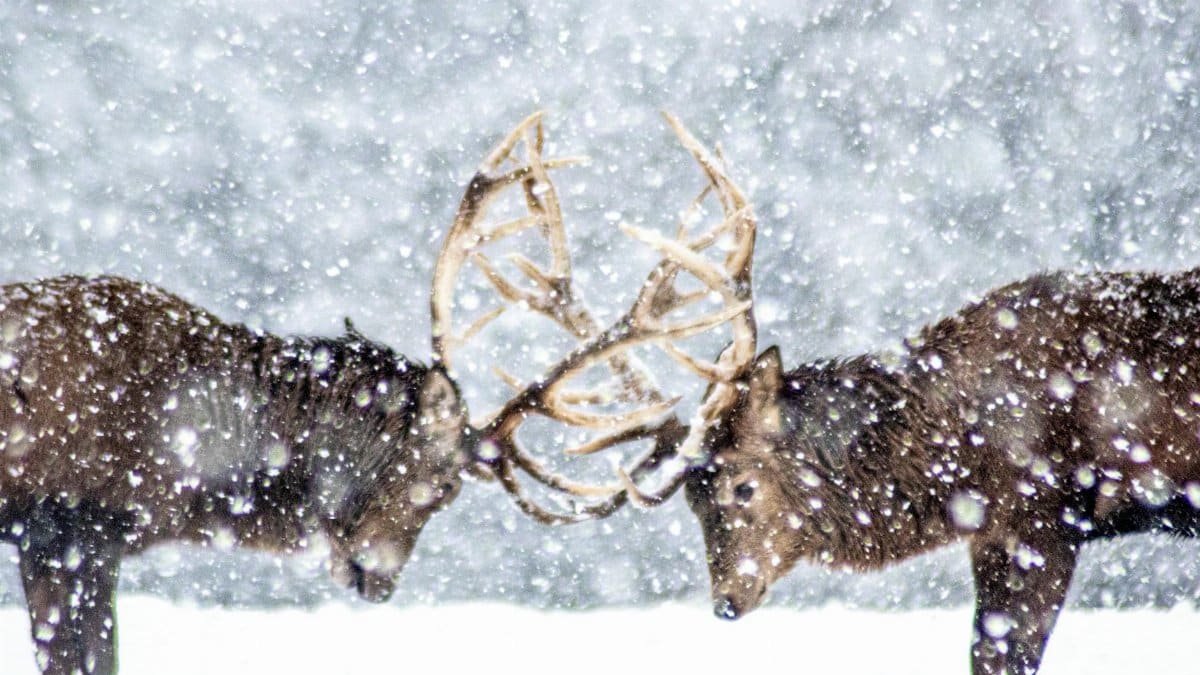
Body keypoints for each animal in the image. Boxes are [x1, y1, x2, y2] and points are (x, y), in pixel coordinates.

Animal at [454, 119, 1200, 675]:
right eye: (692, 499)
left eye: (742, 485)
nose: (726, 600)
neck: (961, 453)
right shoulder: (998, 531)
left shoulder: (1041, 515)